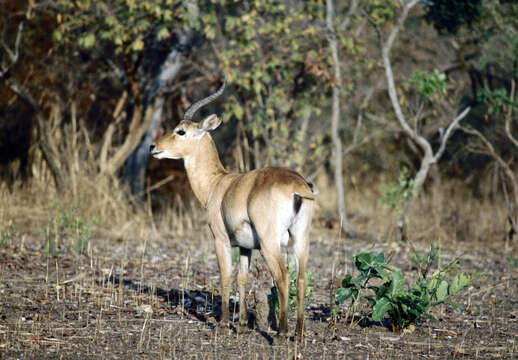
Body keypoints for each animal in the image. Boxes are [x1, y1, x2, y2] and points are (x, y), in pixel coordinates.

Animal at [150, 77, 316, 338]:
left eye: (181, 130)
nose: (153, 147)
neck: (217, 183)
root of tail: (298, 188)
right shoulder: (246, 247)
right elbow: (242, 278)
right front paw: (241, 324)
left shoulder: (220, 239)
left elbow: (226, 276)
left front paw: (223, 324)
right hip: (301, 240)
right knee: (300, 279)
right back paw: (298, 334)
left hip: (270, 244)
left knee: (282, 277)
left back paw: (281, 333)